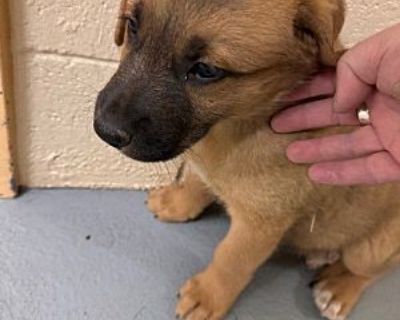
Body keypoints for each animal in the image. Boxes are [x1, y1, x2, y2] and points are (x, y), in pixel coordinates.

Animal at [94, 1, 400, 318]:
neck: (239, 124)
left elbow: (230, 260)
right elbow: (195, 183)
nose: (105, 130)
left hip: (374, 248)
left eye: (206, 70)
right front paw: (176, 203)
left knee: (365, 272)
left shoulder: (260, 223)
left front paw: (206, 297)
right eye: (132, 25)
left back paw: (338, 290)